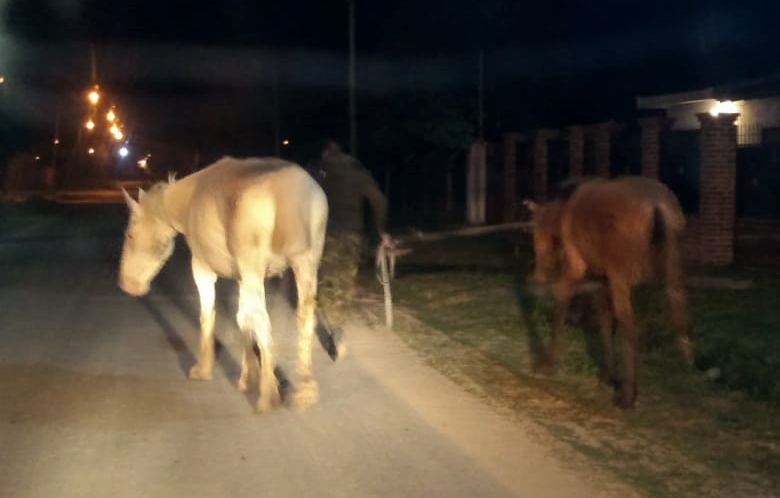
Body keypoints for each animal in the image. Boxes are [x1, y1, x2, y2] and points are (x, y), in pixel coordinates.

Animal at [119, 157, 330, 412]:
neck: (185, 202)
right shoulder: (241, 275)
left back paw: (268, 396)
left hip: (257, 266)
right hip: (306, 262)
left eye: (130, 235)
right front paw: (249, 377)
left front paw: (203, 369)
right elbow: (242, 320)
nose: (126, 284)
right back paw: (306, 389)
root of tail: (292, 191)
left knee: (263, 320)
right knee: (304, 316)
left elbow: (208, 315)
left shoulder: (203, 267)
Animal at [524, 176, 696, 408]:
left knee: (632, 328)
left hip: (621, 278)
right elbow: (605, 322)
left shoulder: (578, 268)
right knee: (679, 313)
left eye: (537, 234)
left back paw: (628, 396)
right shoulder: (602, 279)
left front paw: (548, 363)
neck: (560, 215)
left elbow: (561, 307)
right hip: (672, 268)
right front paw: (609, 375)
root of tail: (657, 205)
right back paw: (687, 362)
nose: (538, 275)